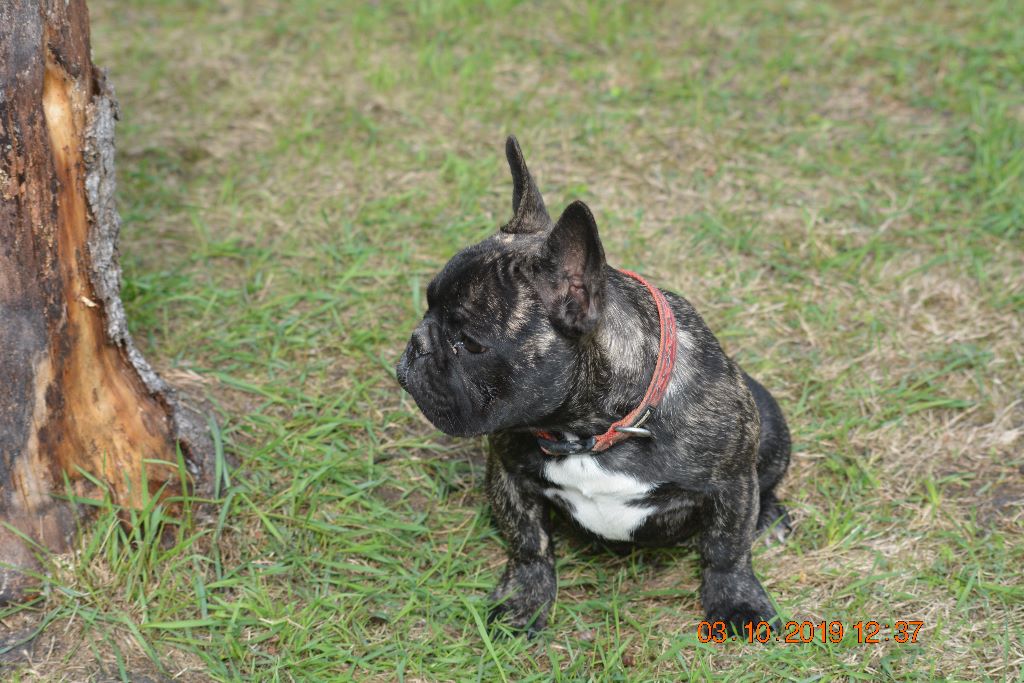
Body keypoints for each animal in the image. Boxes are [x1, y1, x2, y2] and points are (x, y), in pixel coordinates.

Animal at [393, 136, 790, 638]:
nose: (417, 343)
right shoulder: (508, 473)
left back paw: (770, 516)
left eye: (470, 343)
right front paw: (525, 600)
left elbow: (726, 549)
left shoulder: (731, 484)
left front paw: (738, 603)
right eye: (427, 306)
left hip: (771, 424)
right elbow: (528, 541)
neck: (589, 430)